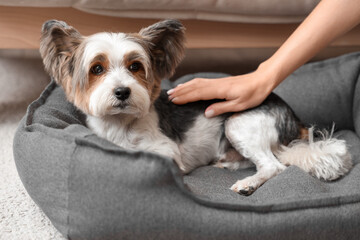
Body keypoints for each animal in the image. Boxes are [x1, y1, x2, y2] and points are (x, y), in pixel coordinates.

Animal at [39, 18, 352, 195]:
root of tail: (293, 119)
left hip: (239, 123)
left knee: (274, 166)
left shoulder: (166, 152)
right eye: (97, 68)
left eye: (135, 66)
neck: (121, 124)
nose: (122, 91)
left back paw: (248, 183)